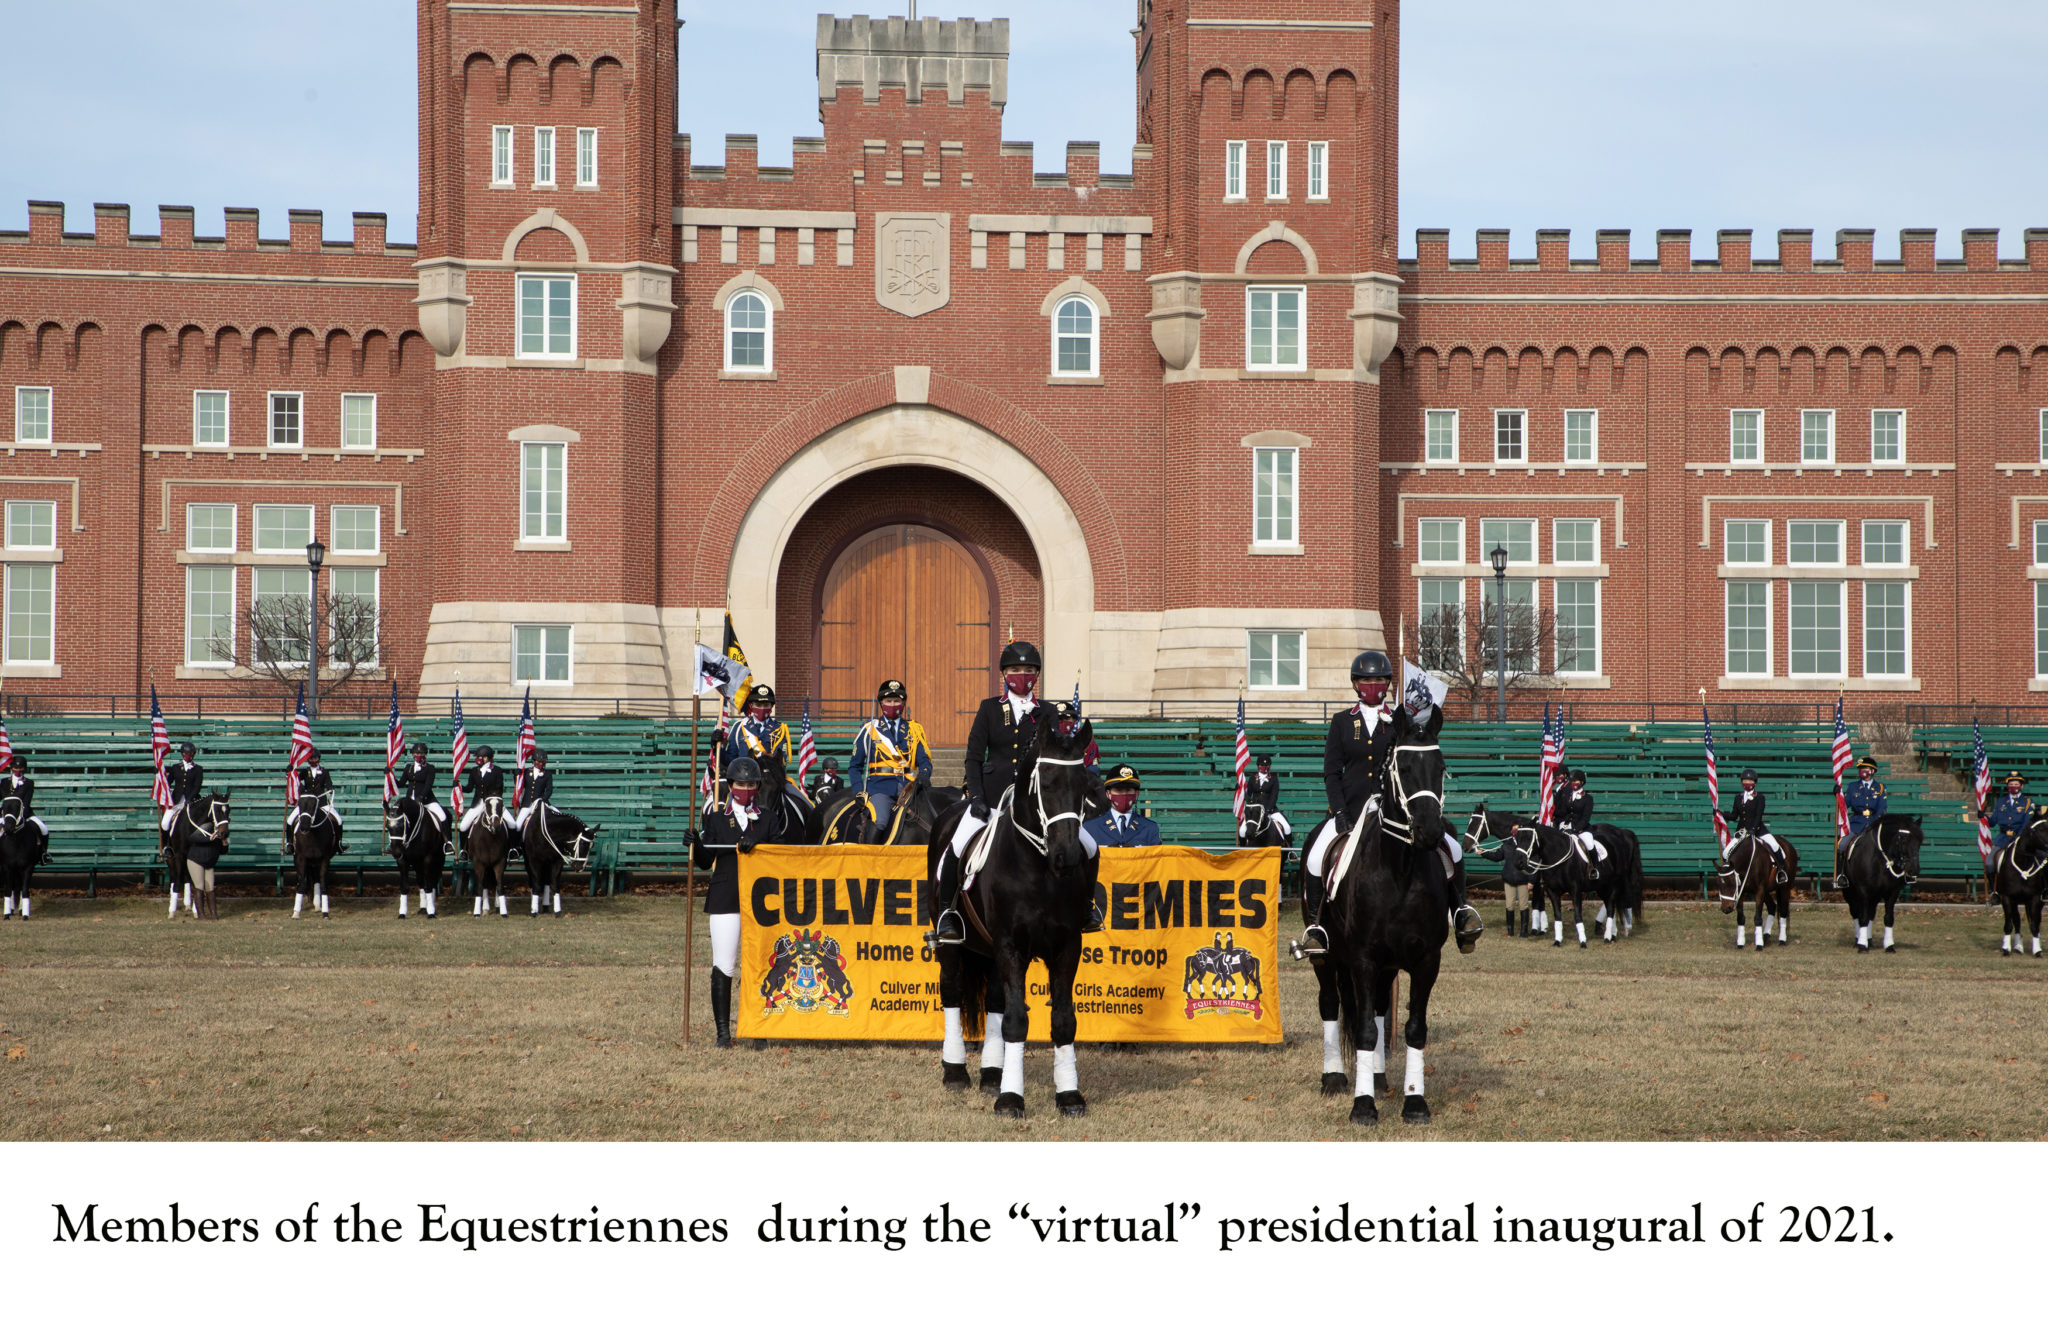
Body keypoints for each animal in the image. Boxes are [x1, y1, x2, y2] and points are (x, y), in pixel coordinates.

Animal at [921, 708, 1097, 1114]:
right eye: (1045, 783)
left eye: (1084, 785)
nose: (1068, 857)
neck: (1038, 869)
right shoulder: (1010, 945)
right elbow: (1016, 1021)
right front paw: (1011, 1099)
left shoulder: (1067, 946)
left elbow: (1062, 1020)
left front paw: (1068, 1095)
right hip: (955, 943)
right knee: (952, 991)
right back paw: (956, 1072)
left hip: (989, 949)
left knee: (995, 1002)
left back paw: (990, 1074)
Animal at [1843, 815, 1916, 950]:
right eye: (1902, 841)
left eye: (1920, 841)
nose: (1914, 868)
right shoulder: (1863, 890)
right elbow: (1863, 917)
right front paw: (1862, 945)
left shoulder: (1892, 892)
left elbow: (1888, 917)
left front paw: (1889, 945)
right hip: (1849, 892)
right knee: (1856, 912)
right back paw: (1858, 940)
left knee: (1871, 913)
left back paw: (1869, 940)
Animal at [1982, 807, 2048, 954]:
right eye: (2038, 829)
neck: (2022, 863)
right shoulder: (2007, 897)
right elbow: (2009, 924)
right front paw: (2006, 948)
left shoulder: (2035, 898)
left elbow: (2034, 925)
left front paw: (2037, 950)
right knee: (2017, 921)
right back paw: (2018, 946)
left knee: (2035, 921)